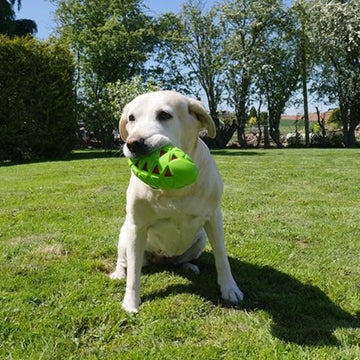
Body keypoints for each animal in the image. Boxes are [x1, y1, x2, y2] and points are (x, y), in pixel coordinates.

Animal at [110, 90, 245, 312]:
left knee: (180, 261)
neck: (173, 189)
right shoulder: (137, 226)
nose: (133, 143)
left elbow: (222, 258)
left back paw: (188, 266)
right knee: (126, 262)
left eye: (164, 115)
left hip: (200, 239)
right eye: (131, 118)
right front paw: (130, 301)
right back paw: (119, 273)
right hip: (125, 237)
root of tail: (162, 259)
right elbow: (134, 275)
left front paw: (229, 288)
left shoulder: (214, 218)